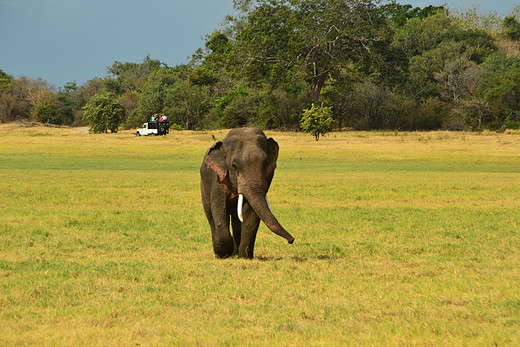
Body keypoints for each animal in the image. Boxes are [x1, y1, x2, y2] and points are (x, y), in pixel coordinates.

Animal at [201, 128, 294, 258]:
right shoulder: (218, 178)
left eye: (266, 163)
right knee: (210, 216)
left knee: (236, 221)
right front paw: (222, 253)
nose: (292, 240)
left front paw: (244, 257)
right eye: (234, 165)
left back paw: (235, 253)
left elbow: (251, 213)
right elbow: (219, 208)